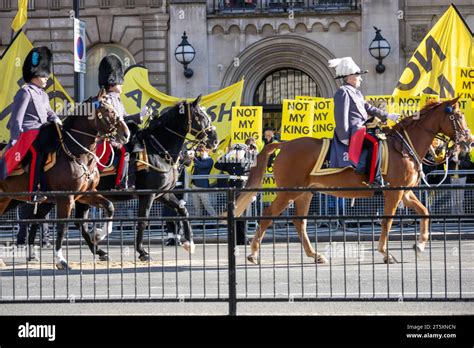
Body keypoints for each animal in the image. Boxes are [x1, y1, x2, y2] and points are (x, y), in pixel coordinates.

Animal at [0, 89, 130, 270]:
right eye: (107, 110)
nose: (126, 134)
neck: (76, 152)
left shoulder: (86, 194)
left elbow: (109, 207)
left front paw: (98, 235)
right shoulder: (65, 198)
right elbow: (62, 226)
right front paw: (61, 260)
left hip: (7, 199)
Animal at [73, 95, 218, 260]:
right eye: (200, 116)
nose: (214, 140)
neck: (157, 149)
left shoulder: (163, 194)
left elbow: (182, 210)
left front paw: (189, 243)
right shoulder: (148, 194)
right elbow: (142, 221)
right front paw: (142, 251)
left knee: (80, 222)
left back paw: (99, 250)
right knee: (80, 222)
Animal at [235, 98, 472, 264]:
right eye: (458, 116)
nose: (469, 140)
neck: (404, 146)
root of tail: (284, 144)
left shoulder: (406, 192)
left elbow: (424, 212)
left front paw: (420, 245)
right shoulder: (394, 192)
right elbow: (387, 221)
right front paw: (385, 253)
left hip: (305, 192)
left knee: (299, 222)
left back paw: (315, 255)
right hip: (289, 191)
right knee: (268, 215)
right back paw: (254, 254)